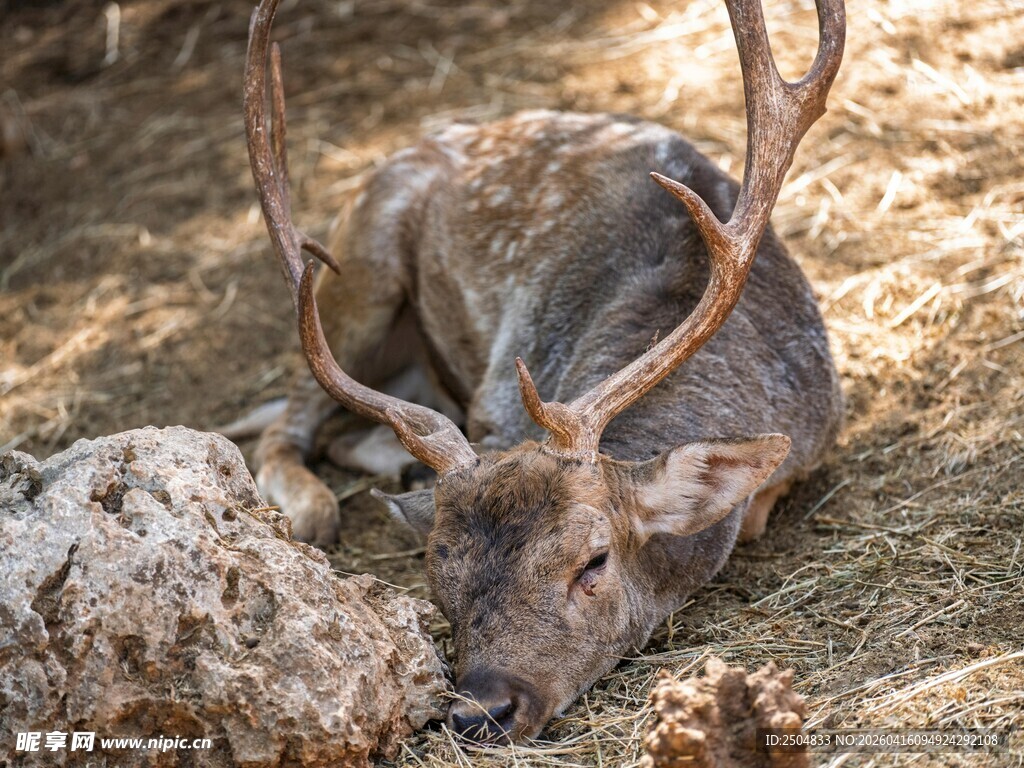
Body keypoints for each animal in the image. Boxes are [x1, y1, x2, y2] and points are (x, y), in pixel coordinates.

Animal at [241, 0, 845, 744]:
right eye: (438, 573)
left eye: (593, 562)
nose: (481, 709)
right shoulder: (497, 403)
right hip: (357, 266)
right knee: (289, 424)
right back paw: (315, 508)